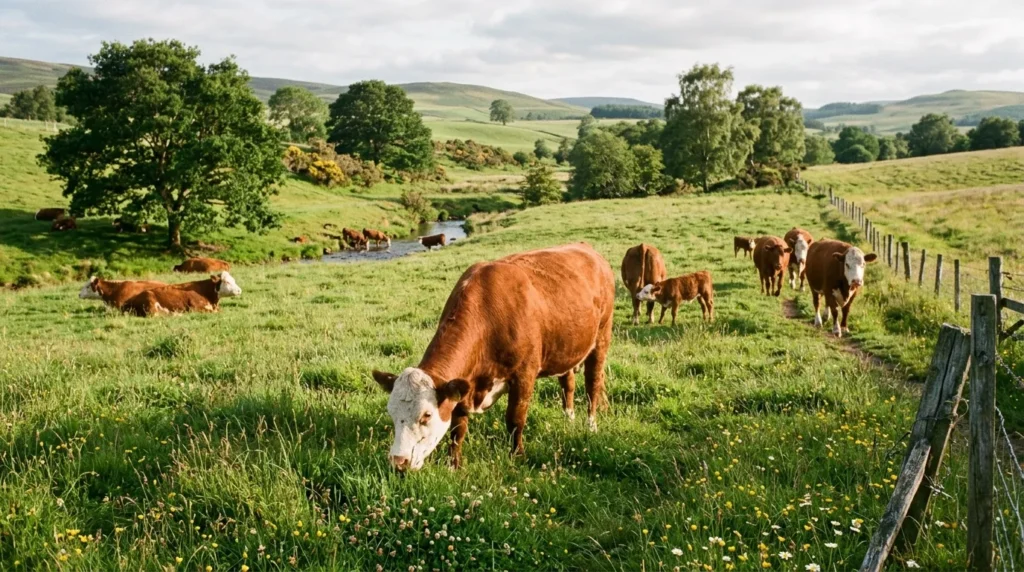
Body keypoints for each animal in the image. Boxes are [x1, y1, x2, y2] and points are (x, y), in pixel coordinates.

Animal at [371, 243, 615, 472]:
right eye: (391, 413)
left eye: (426, 416)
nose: (398, 462)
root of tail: (586, 248)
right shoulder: (463, 385)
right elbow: (458, 429)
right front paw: (454, 465)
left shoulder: (524, 375)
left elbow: (515, 420)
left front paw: (517, 456)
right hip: (566, 348)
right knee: (568, 384)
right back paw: (568, 418)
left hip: (602, 337)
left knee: (592, 384)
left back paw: (591, 426)